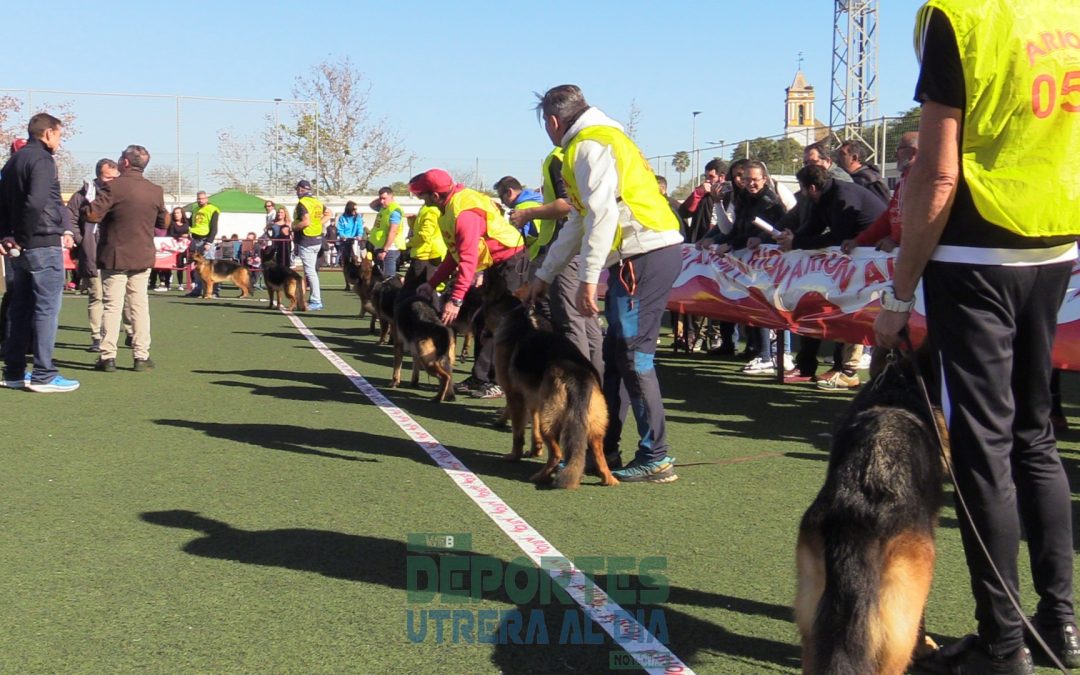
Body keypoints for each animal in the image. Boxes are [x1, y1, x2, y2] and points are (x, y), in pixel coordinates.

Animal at [492, 293, 617, 490]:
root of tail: (578, 375)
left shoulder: (514, 394)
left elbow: (518, 432)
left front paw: (514, 455)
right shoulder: (533, 399)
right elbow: (532, 424)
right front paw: (535, 449)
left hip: (550, 420)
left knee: (557, 453)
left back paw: (541, 476)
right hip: (595, 426)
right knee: (599, 455)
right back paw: (609, 479)